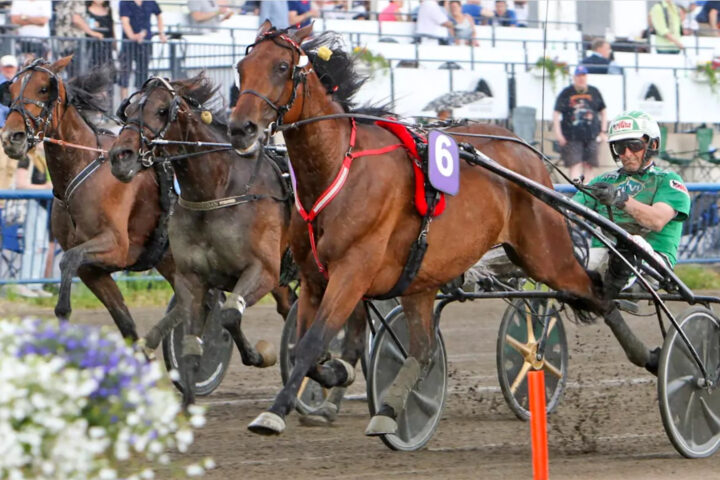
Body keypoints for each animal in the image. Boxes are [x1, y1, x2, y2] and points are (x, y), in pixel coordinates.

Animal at [0, 56, 174, 342]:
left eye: (43, 89)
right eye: (11, 91)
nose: (11, 138)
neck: (84, 165)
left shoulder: (117, 247)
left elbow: (68, 260)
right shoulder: (92, 270)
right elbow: (126, 323)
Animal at [105, 74, 296, 404]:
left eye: (161, 110)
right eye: (128, 112)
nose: (120, 157)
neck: (219, 189)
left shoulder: (263, 271)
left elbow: (230, 315)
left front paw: (260, 354)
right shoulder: (192, 278)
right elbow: (192, 344)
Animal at [228, 22, 656, 436]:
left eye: (282, 67)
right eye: (240, 69)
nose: (240, 128)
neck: (339, 168)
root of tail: (524, 148)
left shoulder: (353, 270)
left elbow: (312, 342)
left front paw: (274, 413)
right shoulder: (315, 277)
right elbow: (304, 346)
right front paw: (336, 372)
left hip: (545, 254)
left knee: (596, 294)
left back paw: (652, 356)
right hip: (423, 279)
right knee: (423, 349)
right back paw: (390, 411)